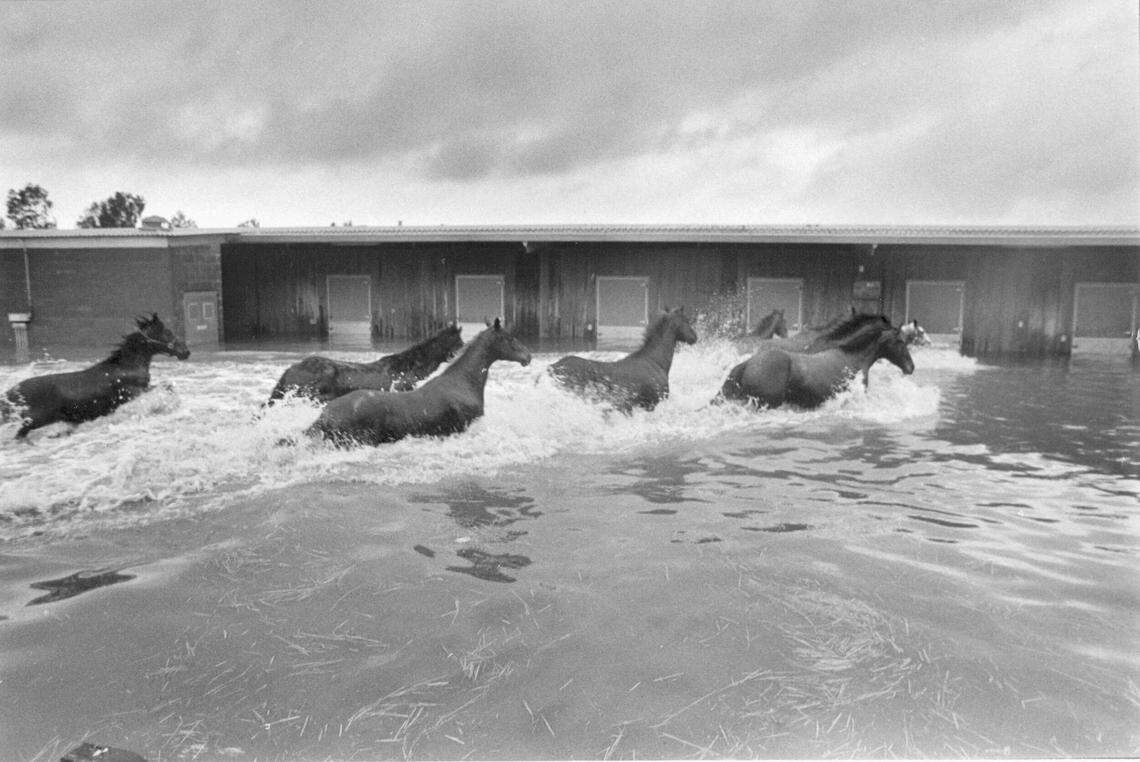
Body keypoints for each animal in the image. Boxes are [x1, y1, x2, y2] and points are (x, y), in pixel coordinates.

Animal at [2, 313, 190, 439]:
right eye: (167, 332)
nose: (186, 352)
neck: (126, 366)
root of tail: (11, 393)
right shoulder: (134, 393)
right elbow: (167, 387)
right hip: (35, 420)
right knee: (20, 434)